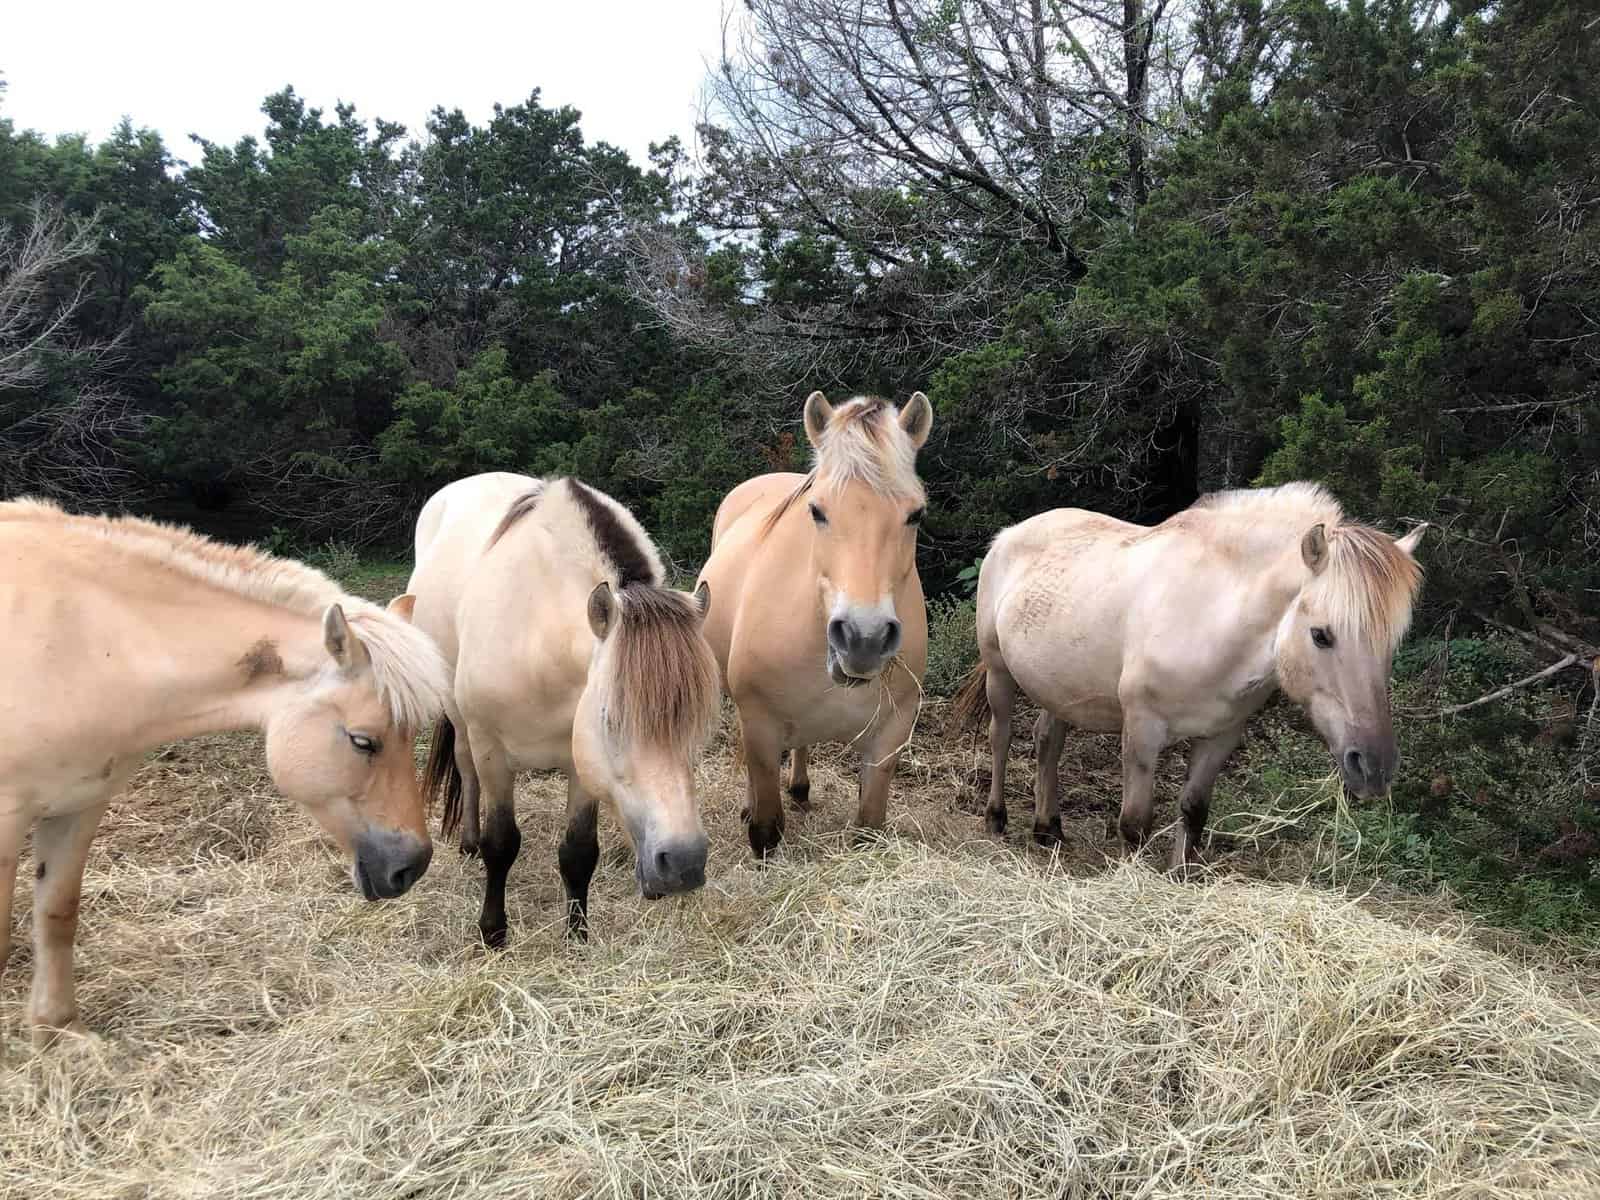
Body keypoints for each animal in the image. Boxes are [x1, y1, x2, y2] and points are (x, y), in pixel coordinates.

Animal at [0, 499, 451, 1045]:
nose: (412, 866)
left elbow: (57, 913)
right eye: (363, 741)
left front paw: (60, 1031)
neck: (82, 643)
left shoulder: (80, 806)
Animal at [409, 473, 720, 946]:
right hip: (461, 720)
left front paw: (577, 933)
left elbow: (578, 852)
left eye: (697, 725)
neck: (537, 638)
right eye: (611, 720)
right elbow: (501, 844)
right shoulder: (492, 752)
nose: (684, 863)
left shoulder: (582, 763)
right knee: (464, 766)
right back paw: (468, 843)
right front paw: (493, 931)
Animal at [698, 391, 932, 859]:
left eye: (915, 514)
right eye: (817, 511)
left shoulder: (890, 736)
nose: (863, 638)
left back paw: (801, 789)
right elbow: (766, 830)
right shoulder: (760, 727)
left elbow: (869, 827)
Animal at [954, 482, 1427, 867]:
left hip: (1058, 687)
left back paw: (1047, 828)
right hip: (999, 673)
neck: (1210, 615)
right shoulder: (1142, 730)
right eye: (1321, 635)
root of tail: (1008, 535)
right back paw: (996, 819)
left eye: (1392, 642)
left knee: (1047, 742)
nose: (1375, 766)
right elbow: (1135, 823)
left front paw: (1178, 874)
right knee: (1001, 737)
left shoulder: (1221, 736)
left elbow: (1194, 812)